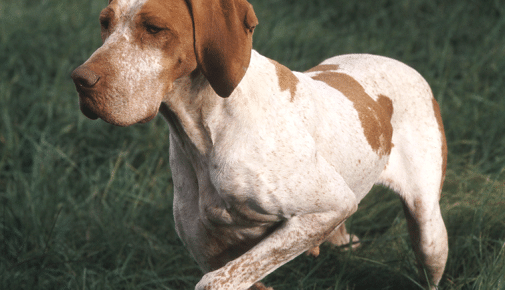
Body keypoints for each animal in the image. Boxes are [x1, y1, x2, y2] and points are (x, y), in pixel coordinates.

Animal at [72, 0, 448, 288]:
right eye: (105, 23)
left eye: (153, 28)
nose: (79, 80)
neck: (208, 129)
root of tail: (407, 67)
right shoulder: (210, 249)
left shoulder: (328, 206)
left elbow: (215, 281)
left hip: (429, 237)